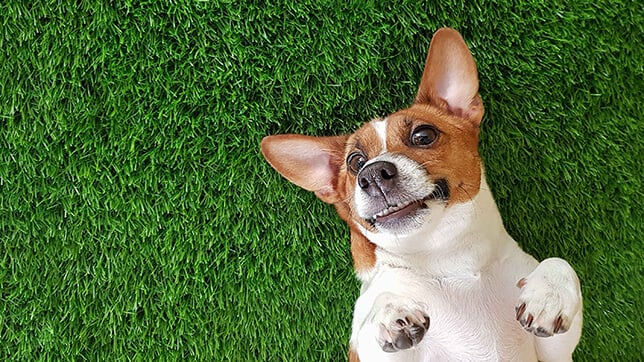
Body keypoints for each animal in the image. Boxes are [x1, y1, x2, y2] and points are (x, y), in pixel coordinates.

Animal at [260, 26, 584, 360]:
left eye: (423, 135)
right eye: (355, 161)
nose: (372, 174)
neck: (447, 257)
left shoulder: (556, 353)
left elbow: (561, 262)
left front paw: (550, 294)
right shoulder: (368, 350)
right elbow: (380, 306)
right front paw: (390, 310)